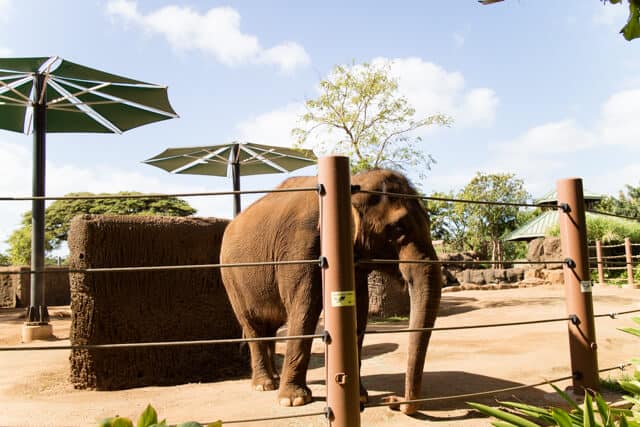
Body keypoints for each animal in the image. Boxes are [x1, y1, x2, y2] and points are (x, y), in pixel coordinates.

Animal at [220, 168, 440, 414]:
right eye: (398, 228)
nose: (393, 402)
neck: (354, 182)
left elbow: (358, 313)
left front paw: (360, 398)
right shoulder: (301, 248)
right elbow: (304, 310)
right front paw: (294, 400)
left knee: (270, 326)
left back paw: (275, 378)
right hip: (231, 279)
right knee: (253, 327)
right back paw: (264, 385)